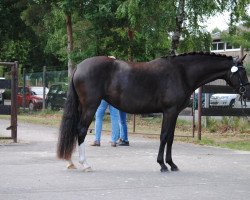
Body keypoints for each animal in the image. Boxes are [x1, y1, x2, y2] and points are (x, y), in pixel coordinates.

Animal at [57, 52, 250, 172]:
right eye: (242, 72)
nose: (246, 92)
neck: (181, 73)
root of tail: (79, 67)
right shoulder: (170, 111)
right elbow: (164, 136)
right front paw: (162, 165)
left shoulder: (174, 113)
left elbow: (170, 137)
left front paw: (172, 164)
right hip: (90, 106)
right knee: (81, 130)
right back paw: (85, 164)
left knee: (74, 130)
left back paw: (71, 162)